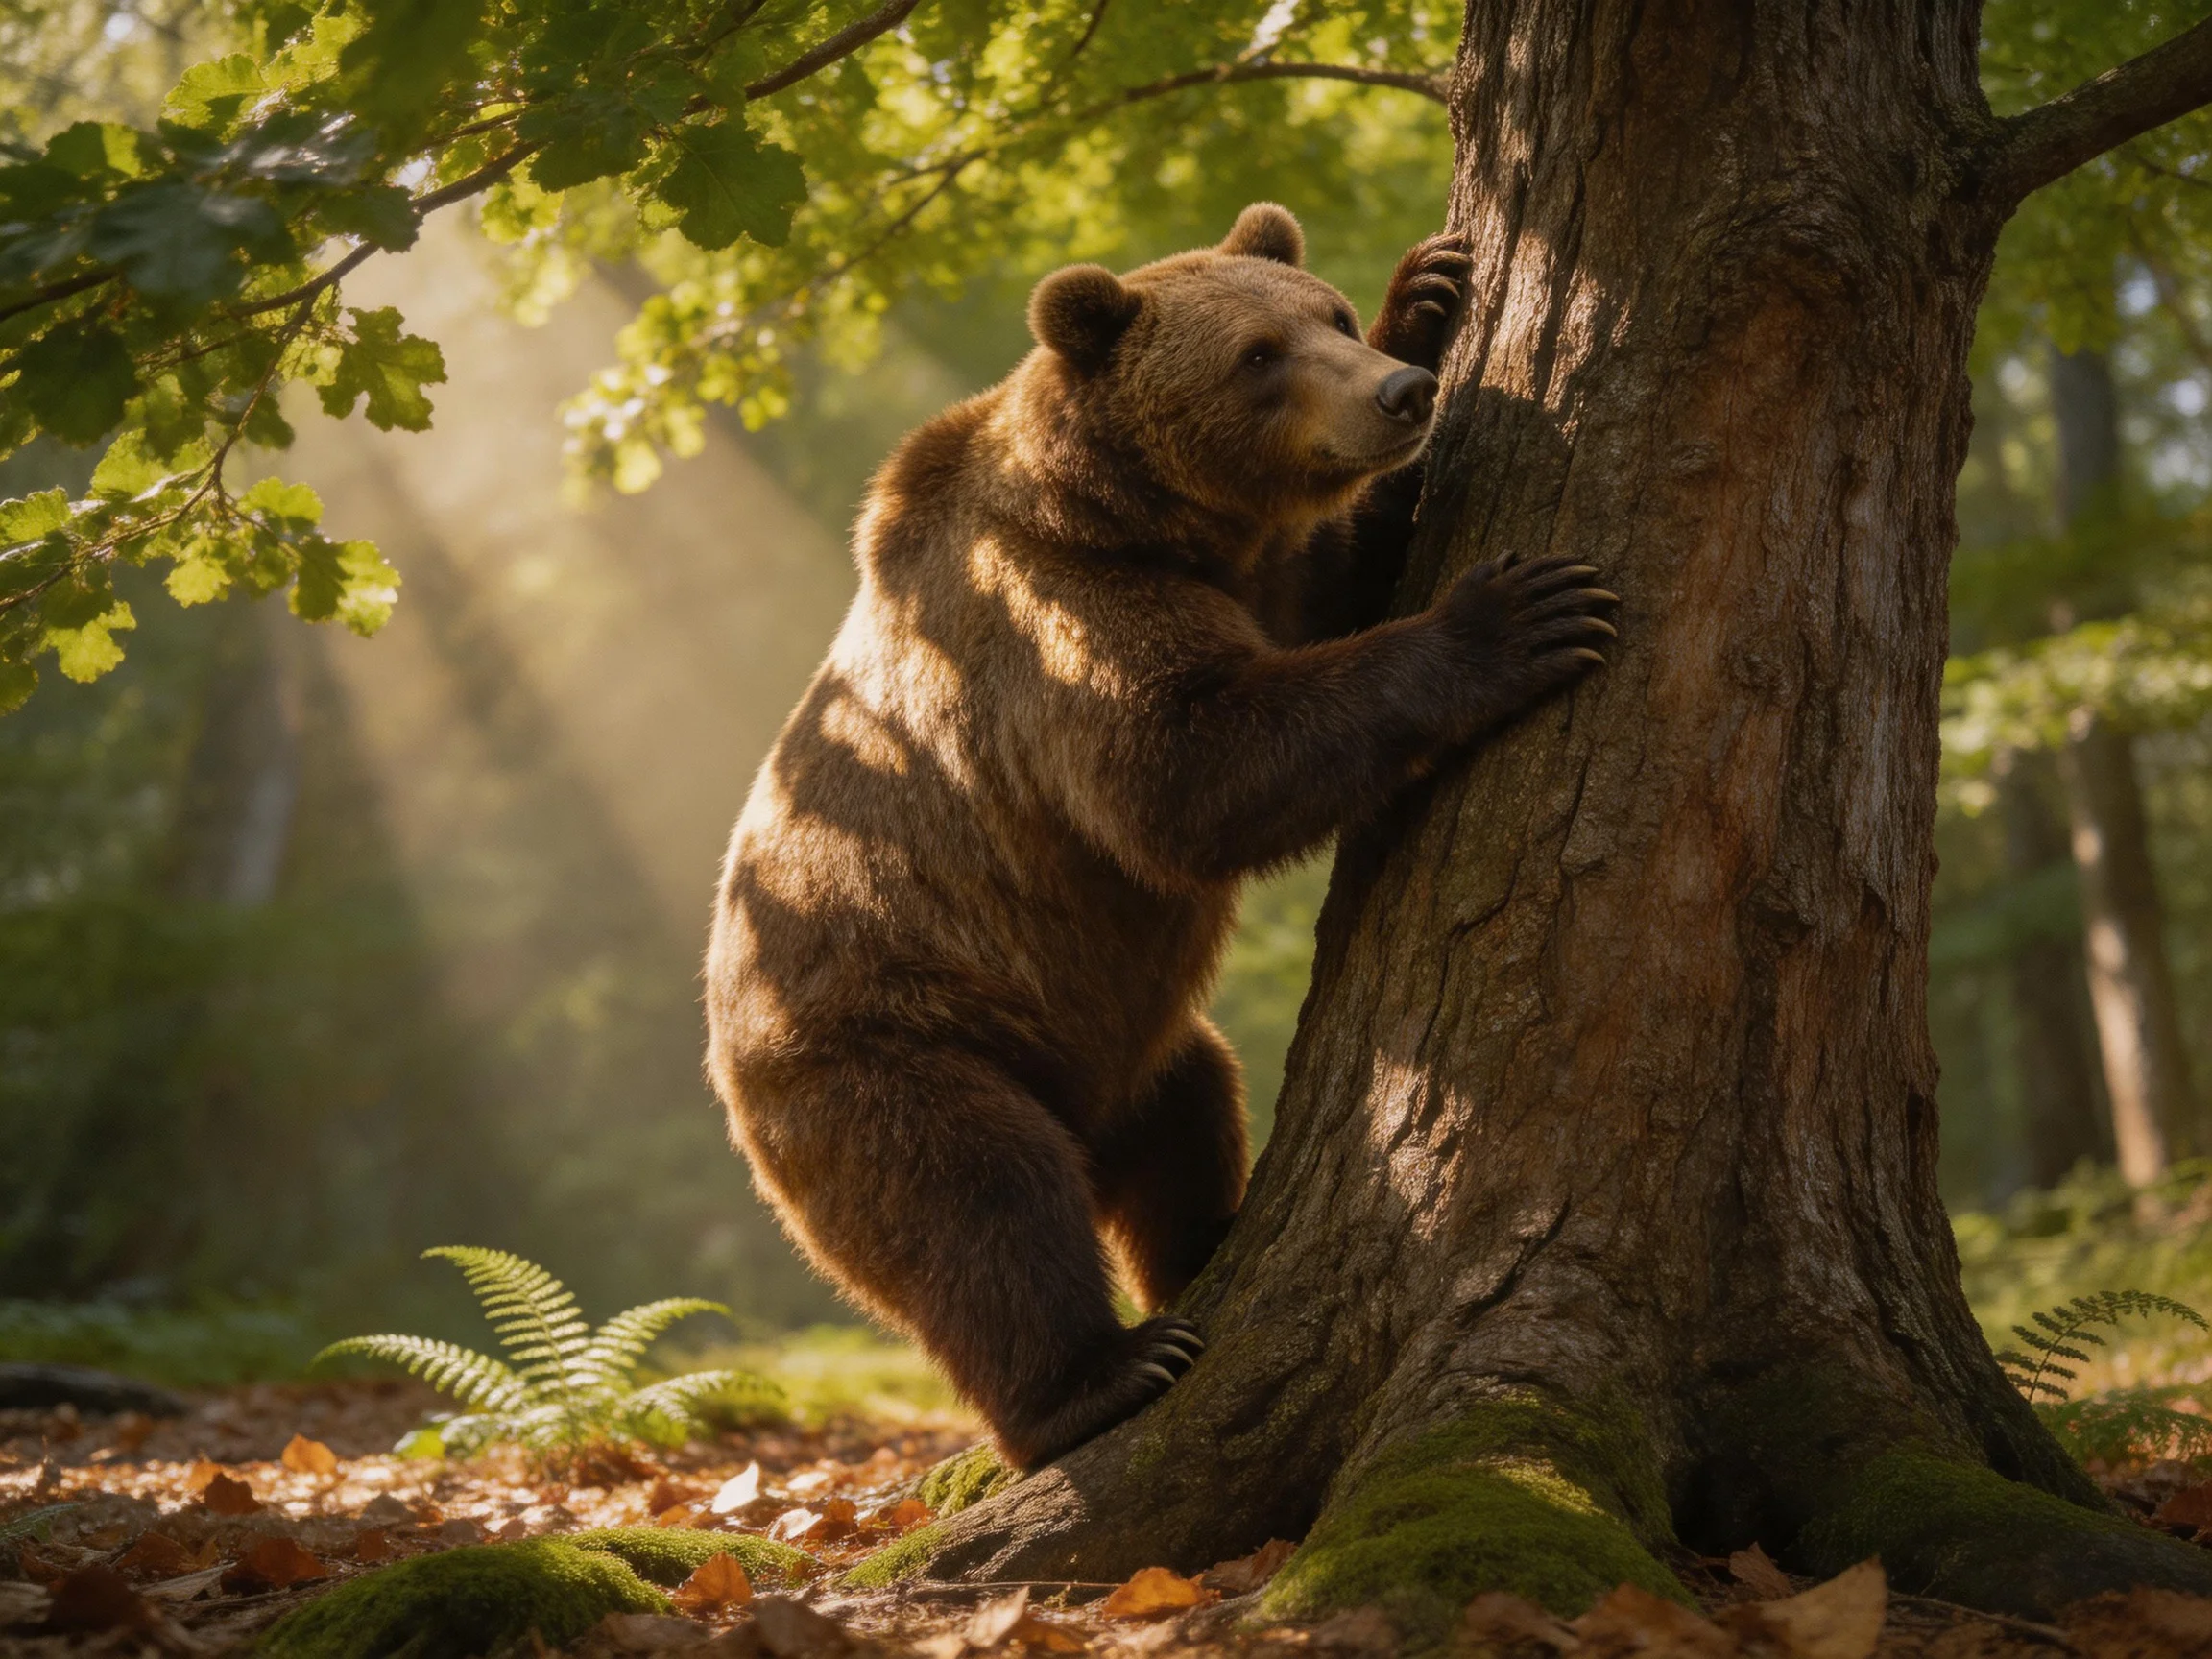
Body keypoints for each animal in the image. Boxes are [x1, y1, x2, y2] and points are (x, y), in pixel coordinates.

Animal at [704, 204, 1617, 1470]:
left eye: (1329, 317)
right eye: (1257, 356)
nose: (1400, 394)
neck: (1129, 518)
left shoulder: (1245, 572)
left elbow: (1332, 587)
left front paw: (1431, 290)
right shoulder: (1054, 626)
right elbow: (1188, 774)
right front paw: (1517, 613)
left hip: (1125, 1038)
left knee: (1189, 1111)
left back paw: (1209, 1244)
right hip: (887, 1043)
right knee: (977, 1202)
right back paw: (1099, 1378)